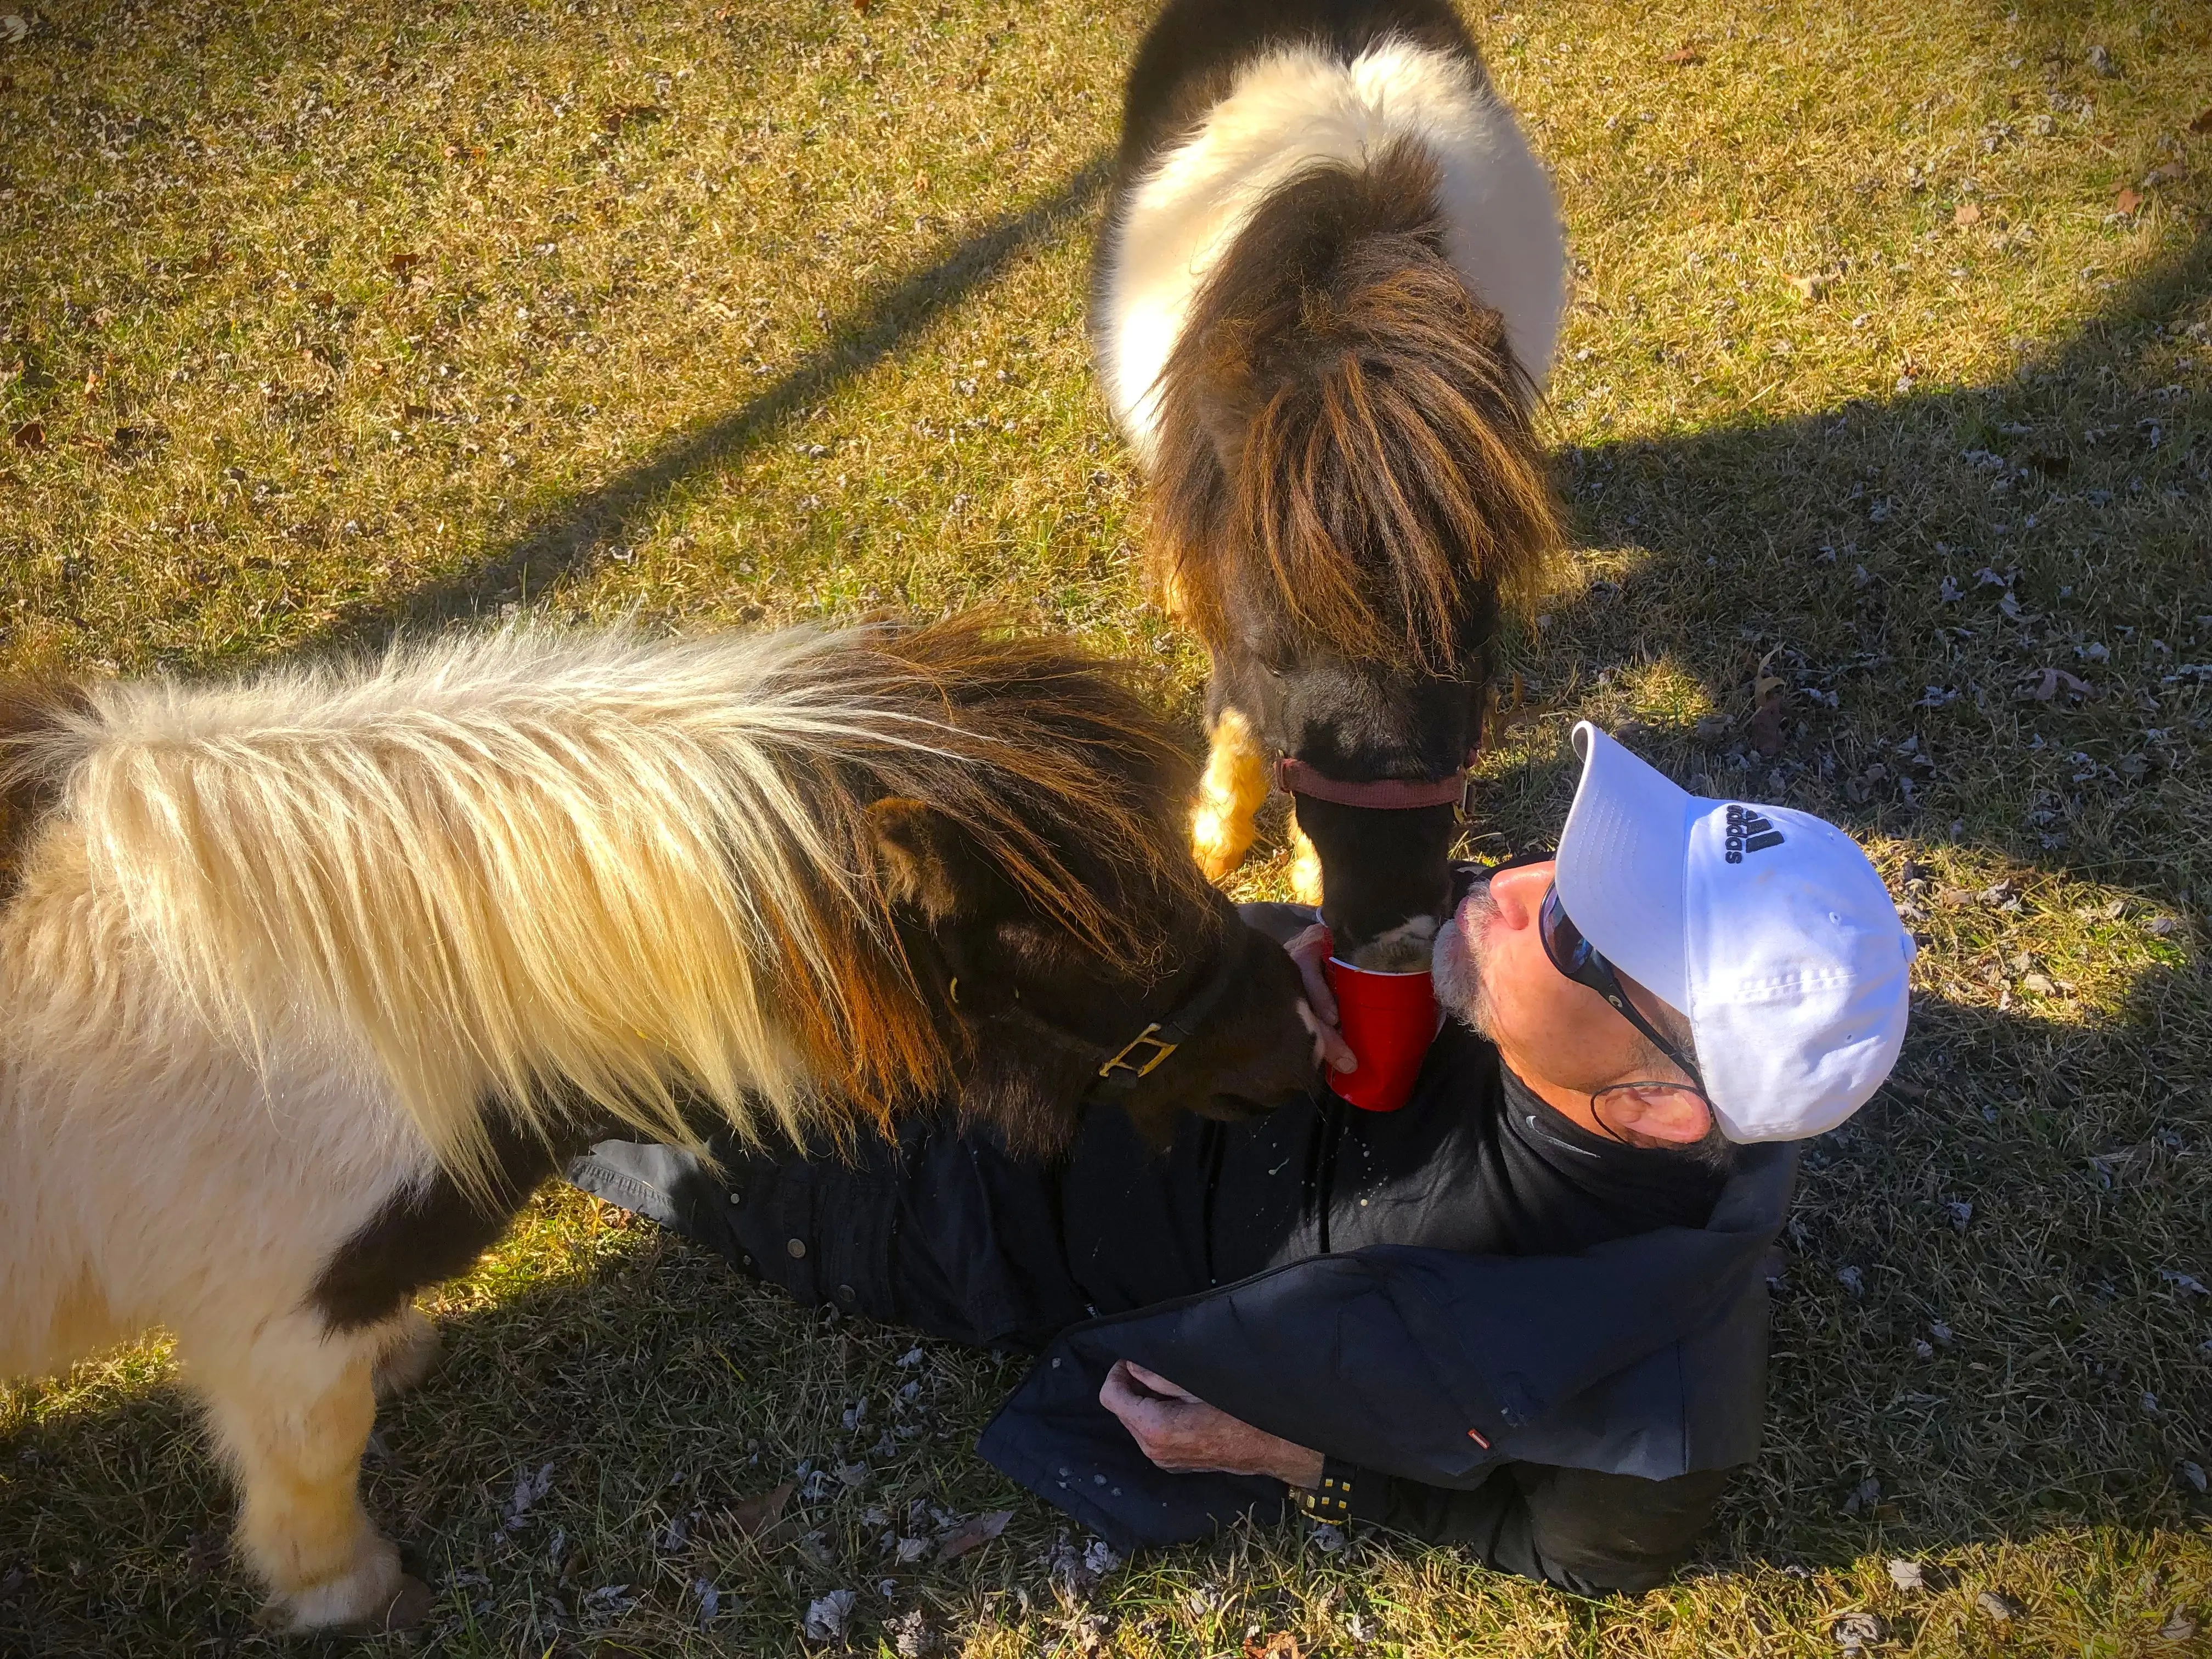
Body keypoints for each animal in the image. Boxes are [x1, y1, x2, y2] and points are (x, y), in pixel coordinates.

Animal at [0, 615, 1315, 1632]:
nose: (1305, 1034)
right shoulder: (276, 1323)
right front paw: (345, 1589)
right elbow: (315, 1456)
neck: (346, 993)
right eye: (1104, 956)